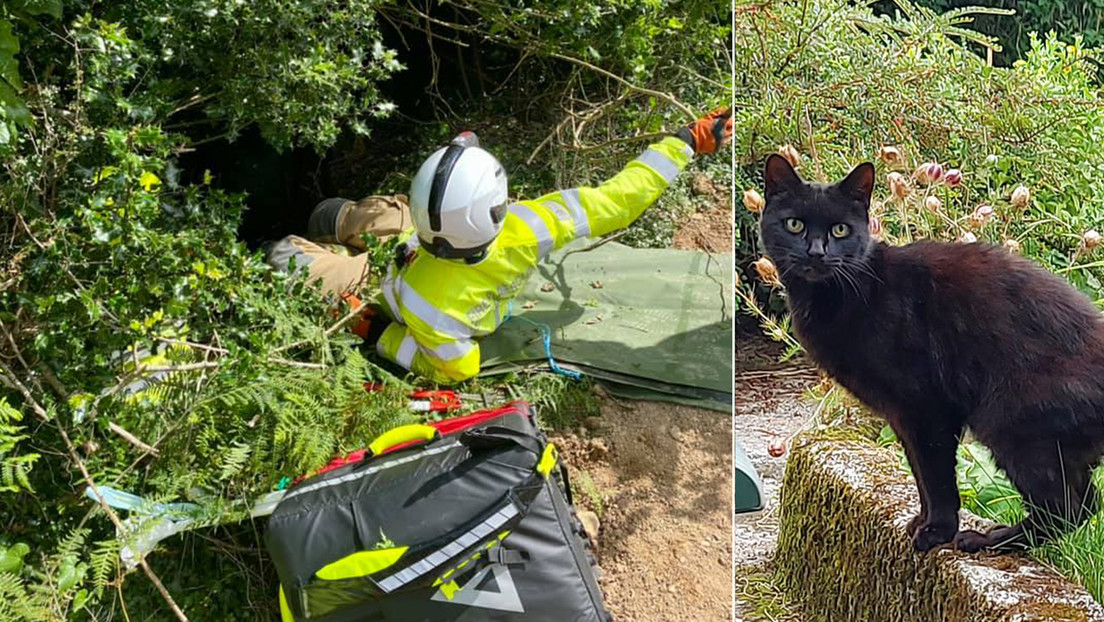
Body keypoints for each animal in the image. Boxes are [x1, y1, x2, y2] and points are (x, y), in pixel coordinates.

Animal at [763, 153, 1104, 552]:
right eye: (795, 224)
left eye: (840, 231)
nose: (816, 252)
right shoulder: (901, 416)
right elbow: (920, 473)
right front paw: (920, 522)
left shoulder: (926, 406)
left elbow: (936, 476)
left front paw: (937, 531)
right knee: (1086, 502)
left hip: (1010, 424)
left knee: (1066, 508)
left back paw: (991, 539)